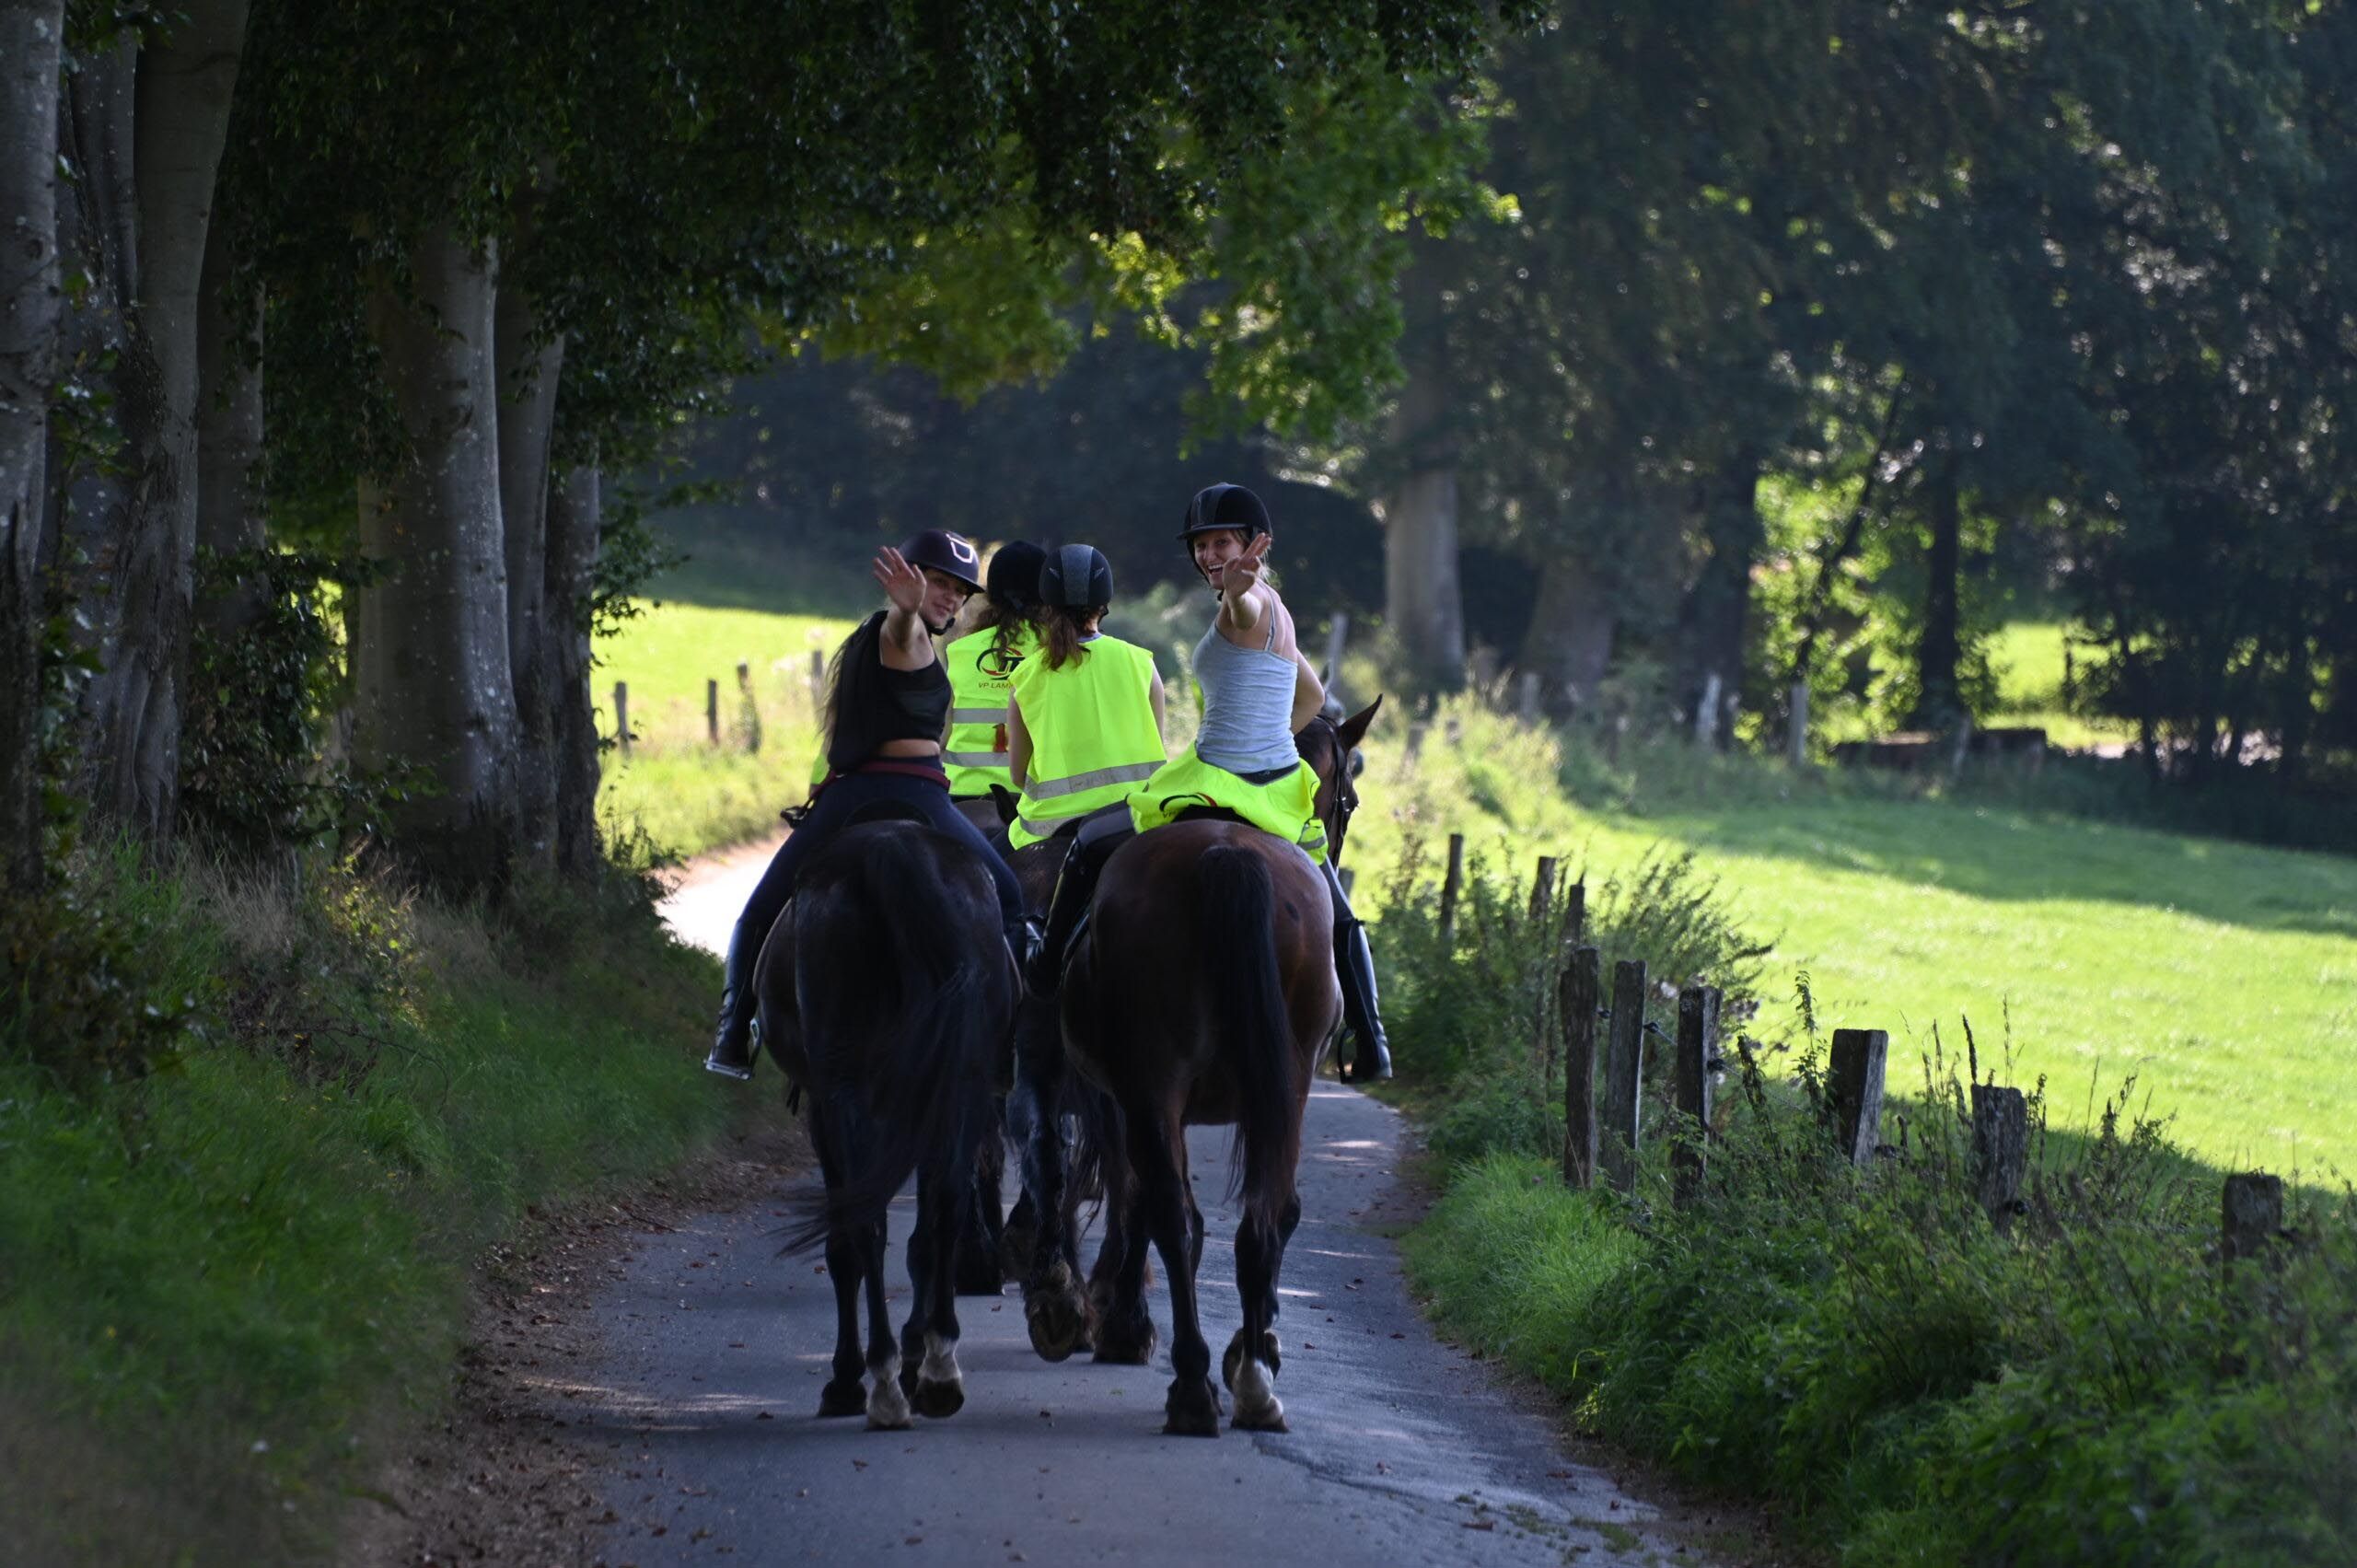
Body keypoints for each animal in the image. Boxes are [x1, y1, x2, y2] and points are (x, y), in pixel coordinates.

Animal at [754, 810, 1013, 1423]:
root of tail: (893, 852)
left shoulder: (829, 1110)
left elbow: (848, 1242)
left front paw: (850, 1376)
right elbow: (925, 1232)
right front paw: (920, 1353)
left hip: (846, 1094)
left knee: (865, 1224)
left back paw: (880, 1380)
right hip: (956, 1085)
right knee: (945, 1208)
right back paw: (938, 1369)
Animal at [1055, 698, 1376, 1434]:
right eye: (1349, 798)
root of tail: (1226, 855)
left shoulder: (1130, 1097)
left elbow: (1135, 1195)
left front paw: (1124, 1319)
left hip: (1158, 1084)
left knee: (1177, 1214)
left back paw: (1197, 1381)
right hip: (1272, 1083)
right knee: (1261, 1213)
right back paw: (1248, 1378)